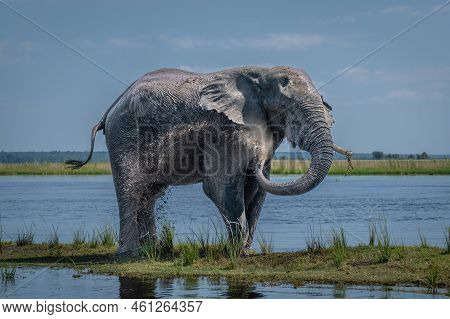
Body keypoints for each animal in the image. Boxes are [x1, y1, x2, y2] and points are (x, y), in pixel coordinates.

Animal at [68, 66, 352, 256]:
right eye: (287, 108)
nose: (258, 160)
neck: (261, 73)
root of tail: (110, 108)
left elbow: (256, 192)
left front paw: (246, 251)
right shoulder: (225, 130)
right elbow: (221, 188)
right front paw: (236, 253)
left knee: (149, 194)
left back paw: (153, 250)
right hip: (123, 135)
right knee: (131, 189)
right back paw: (130, 254)